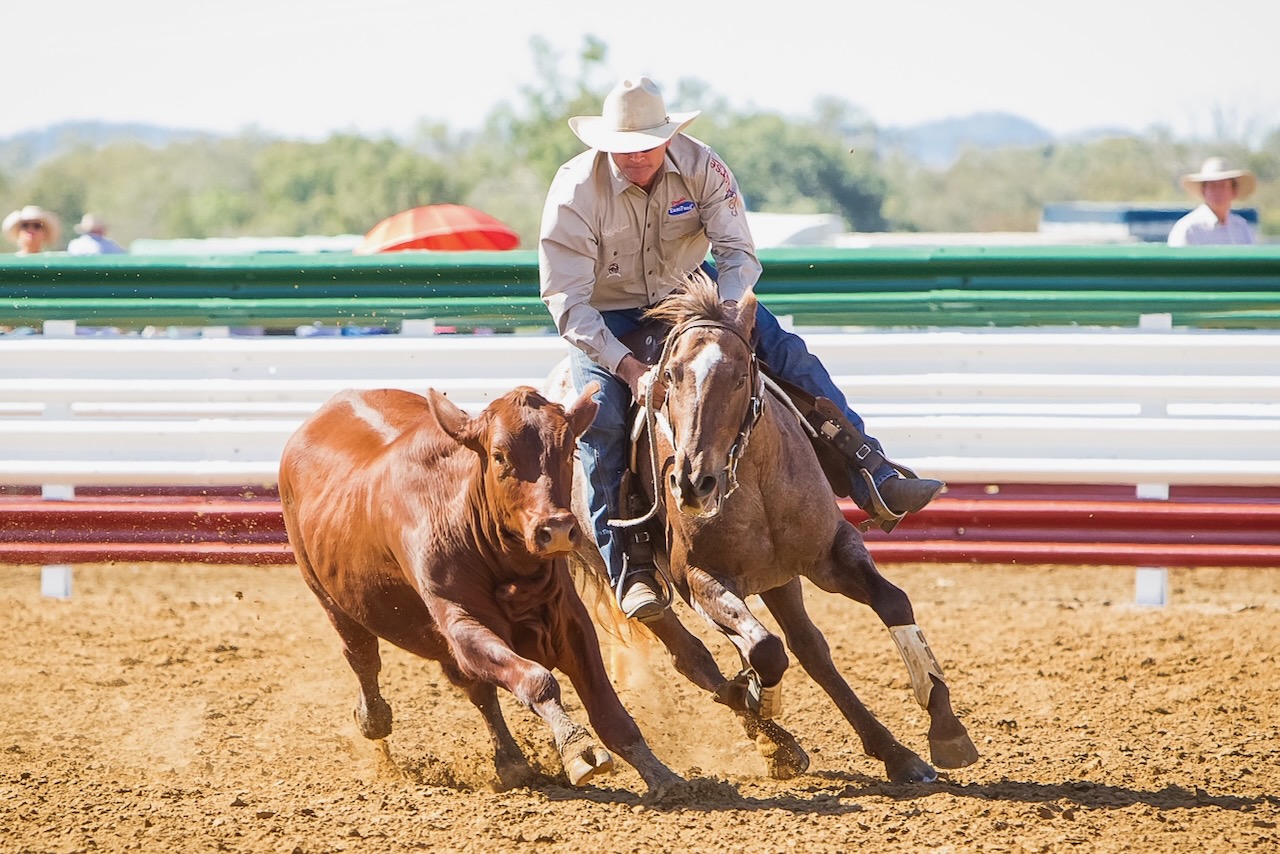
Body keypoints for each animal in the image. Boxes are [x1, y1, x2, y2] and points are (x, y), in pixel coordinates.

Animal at [278, 383, 679, 793]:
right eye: (500, 456)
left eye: (569, 450)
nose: (556, 529)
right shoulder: (462, 623)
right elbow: (537, 679)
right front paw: (577, 747)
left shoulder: (570, 620)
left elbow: (607, 708)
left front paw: (659, 772)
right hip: (329, 598)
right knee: (362, 656)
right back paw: (373, 718)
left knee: (477, 691)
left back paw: (511, 761)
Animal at [557, 272, 979, 784]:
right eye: (669, 376)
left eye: (741, 376)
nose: (693, 483)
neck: (753, 476)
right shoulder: (696, 578)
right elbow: (764, 651)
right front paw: (761, 698)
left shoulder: (831, 551)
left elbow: (892, 601)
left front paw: (945, 725)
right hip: (639, 579)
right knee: (693, 655)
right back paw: (773, 736)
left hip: (779, 577)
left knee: (810, 647)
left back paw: (891, 752)